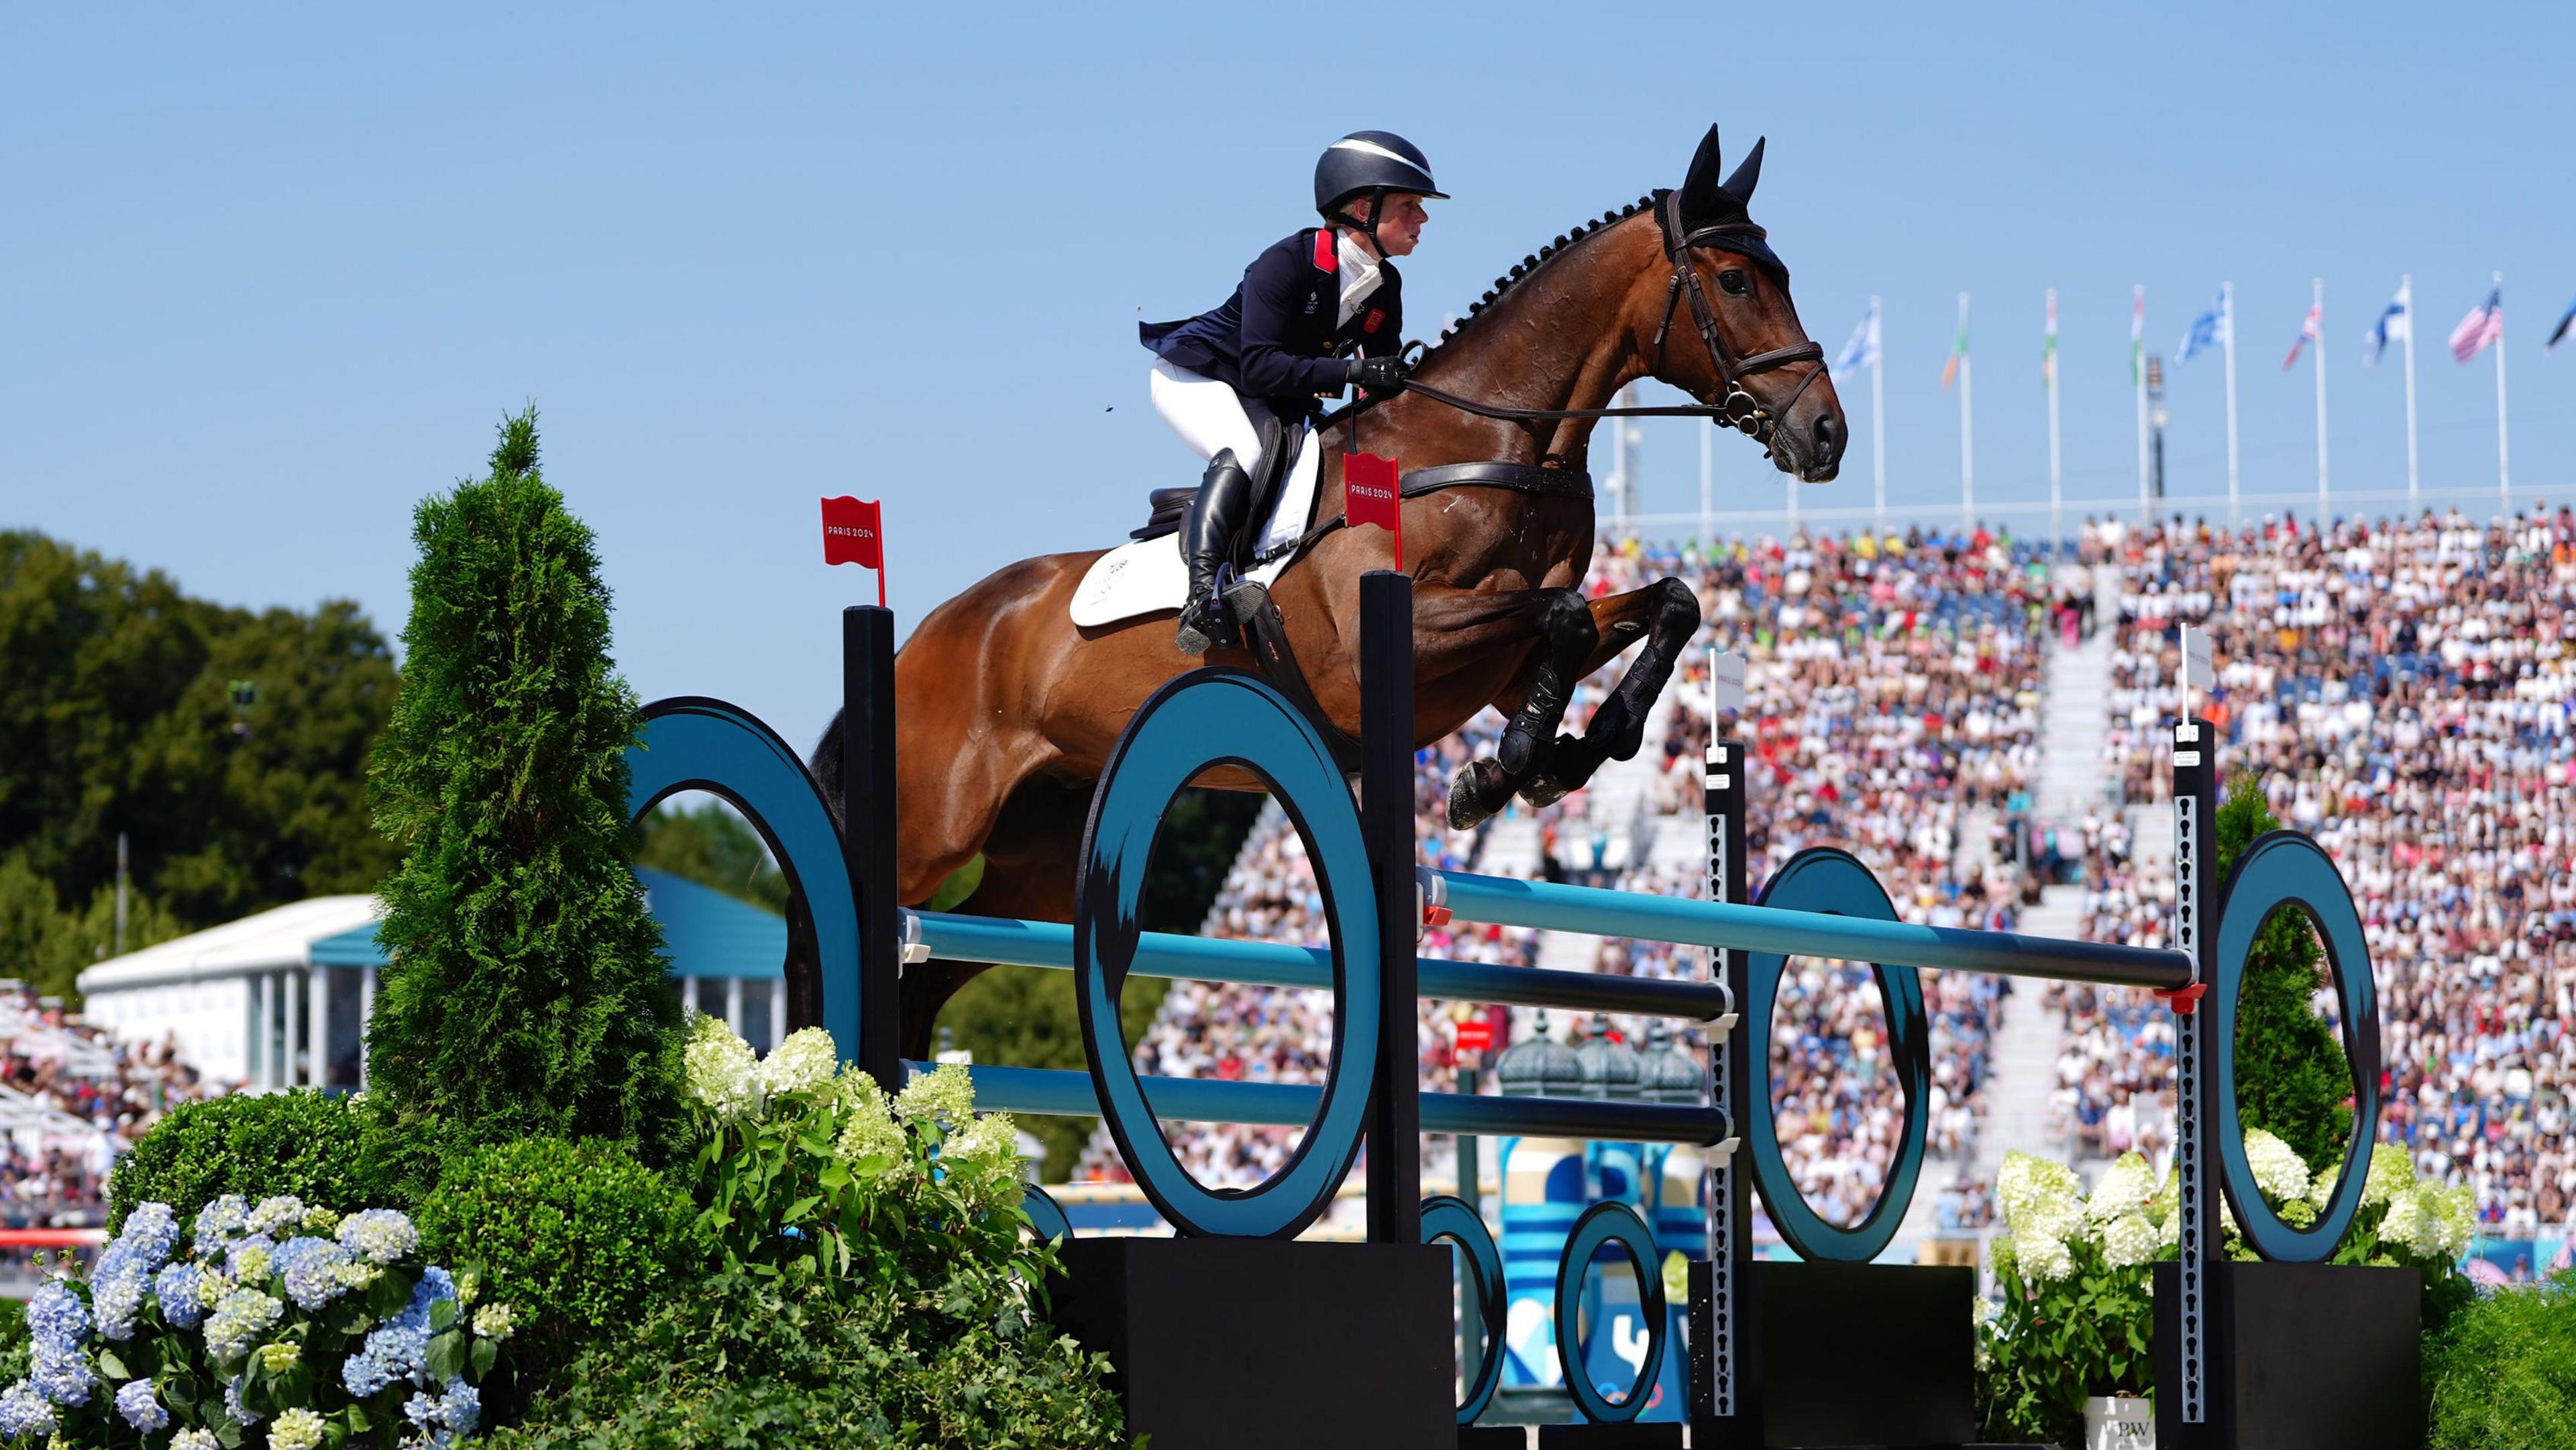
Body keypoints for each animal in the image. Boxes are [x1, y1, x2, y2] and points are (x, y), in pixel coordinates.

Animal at [814, 125, 1844, 1055]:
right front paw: (1500, 773)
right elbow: (1561, 619)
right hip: (930, 827)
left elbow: (1659, 606)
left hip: (1037, 852)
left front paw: (1566, 754)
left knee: (928, 975)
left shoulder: (1506, 661)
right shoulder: (1398, 636)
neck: (1497, 442)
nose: (1827, 434)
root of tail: (926, 633)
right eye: (1738, 281)